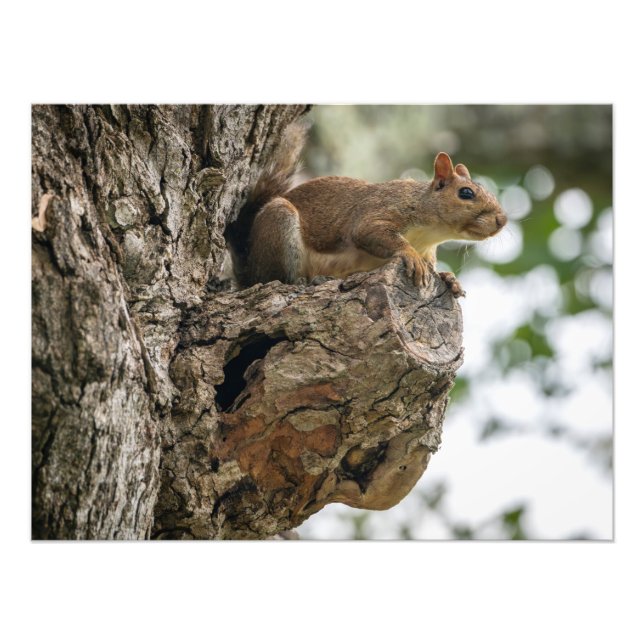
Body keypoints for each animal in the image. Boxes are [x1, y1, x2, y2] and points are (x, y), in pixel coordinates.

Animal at [225, 121, 507, 297]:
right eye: (466, 193)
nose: (502, 220)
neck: (429, 234)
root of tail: (249, 268)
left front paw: (449, 278)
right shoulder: (381, 210)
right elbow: (370, 232)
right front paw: (409, 255)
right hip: (279, 223)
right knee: (277, 278)